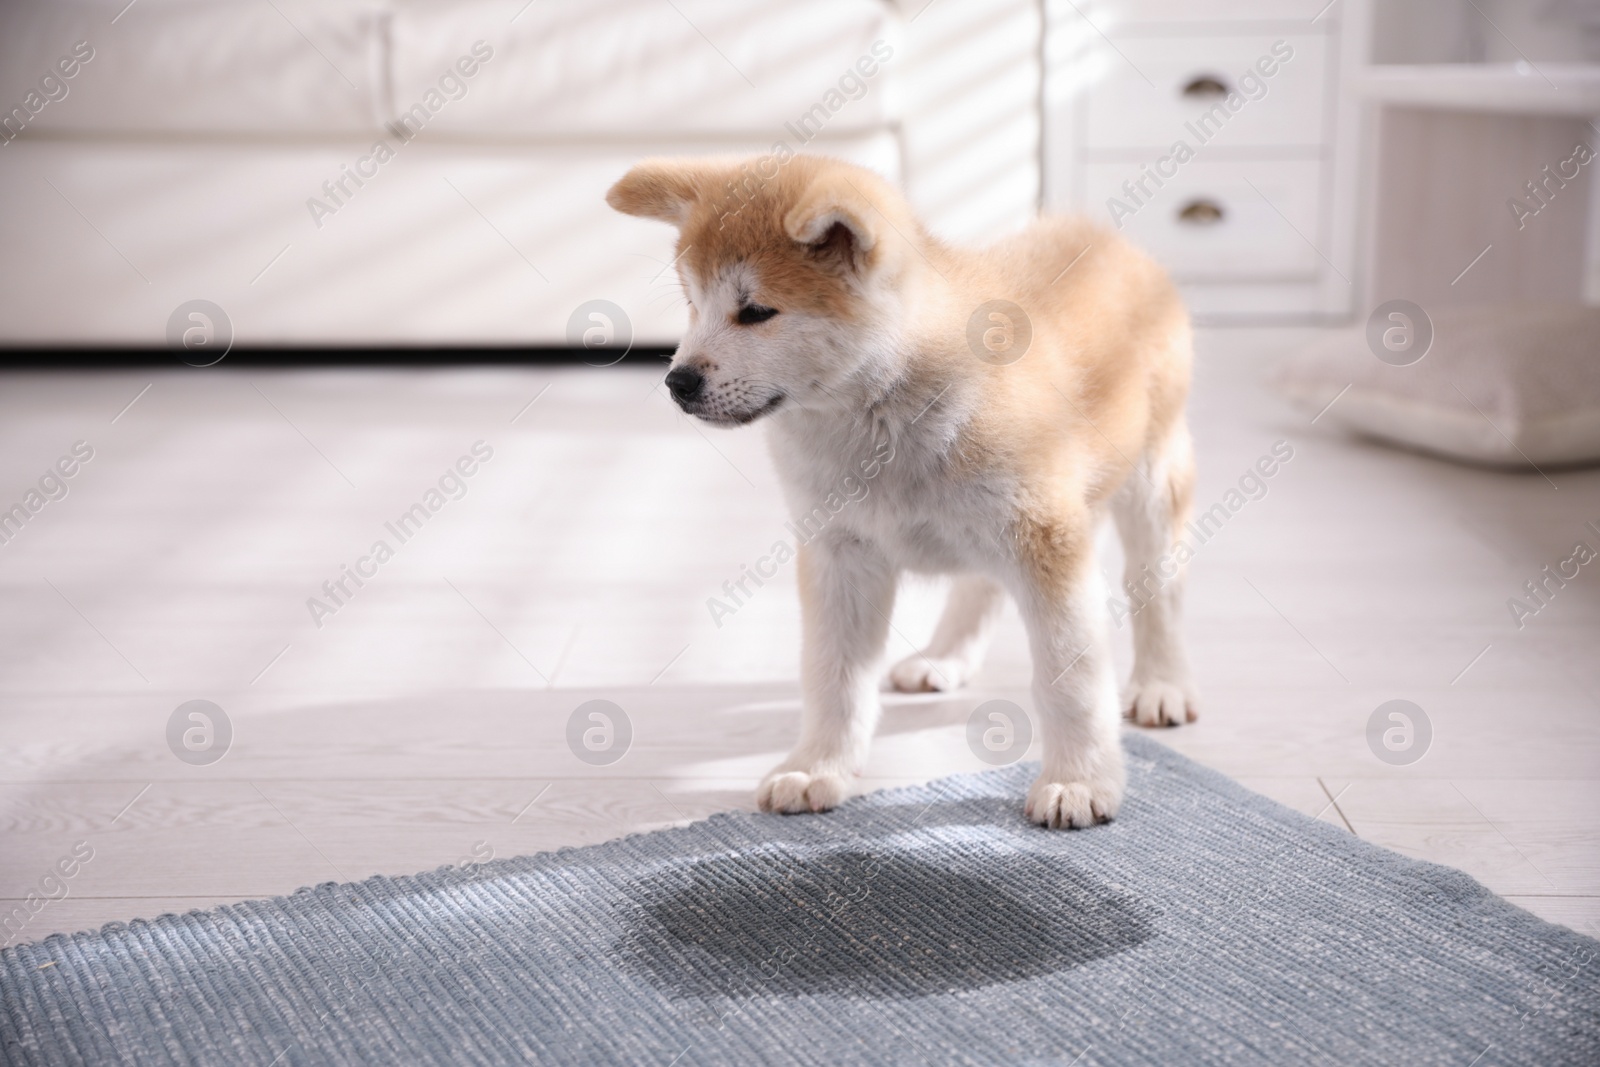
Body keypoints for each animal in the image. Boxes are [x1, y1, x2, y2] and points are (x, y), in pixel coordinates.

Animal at [604, 154, 1196, 831]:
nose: (678, 382)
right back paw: (946, 657)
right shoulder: (841, 554)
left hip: (1151, 478)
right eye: (691, 303)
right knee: (978, 585)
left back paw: (1162, 683)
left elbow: (1069, 680)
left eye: (754, 312)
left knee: (1159, 590)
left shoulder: (1047, 543)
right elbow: (833, 678)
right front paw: (819, 766)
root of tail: (1102, 237)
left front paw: (1078, 779)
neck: (882, 417)